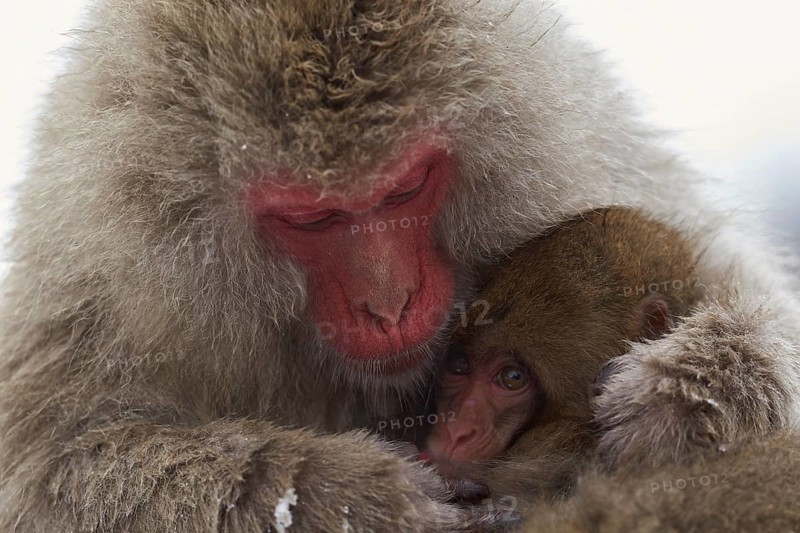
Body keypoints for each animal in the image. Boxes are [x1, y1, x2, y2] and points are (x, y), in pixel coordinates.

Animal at [2, 0, 800, 531]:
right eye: (312, 218)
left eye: (404, 189)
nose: (389, 304)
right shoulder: (91, 283)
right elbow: (50, 470)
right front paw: (351, 496)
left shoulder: (590, 151)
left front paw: (697, 383)